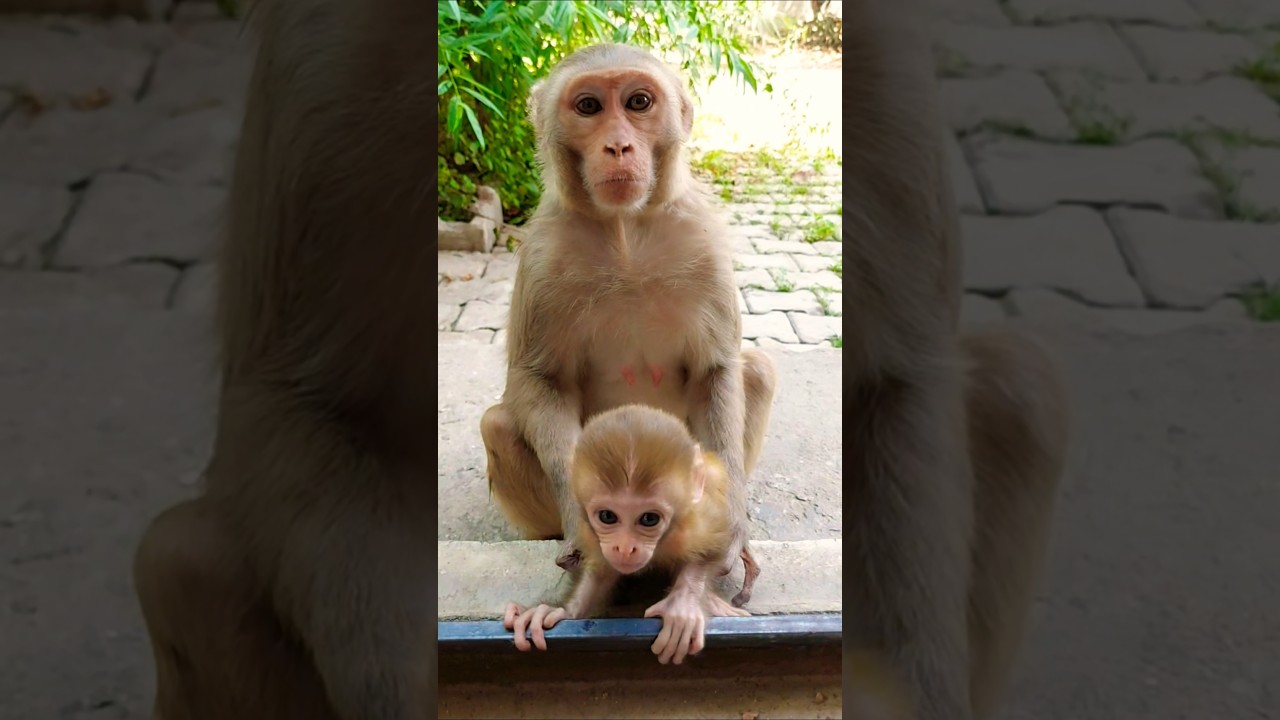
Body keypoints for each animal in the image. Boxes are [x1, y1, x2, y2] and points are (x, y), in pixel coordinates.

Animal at [478, 43, 778, 608]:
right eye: (589, 107)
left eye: (639, 102)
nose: (618, 146)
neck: (625, 233)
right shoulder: (542, 253)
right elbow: (538, 379)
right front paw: (584, 528)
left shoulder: (704, 240)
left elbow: (717, 370)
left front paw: (728, 529)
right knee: (498, 422)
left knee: (757, 368)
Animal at [502, 404, 758, 665]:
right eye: (607, 516)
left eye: (649, 519)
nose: (625, 547)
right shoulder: (590, 529)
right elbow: (600, 572)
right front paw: (562, 610)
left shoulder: (696, 521)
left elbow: (717, 542)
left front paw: (683, 603)